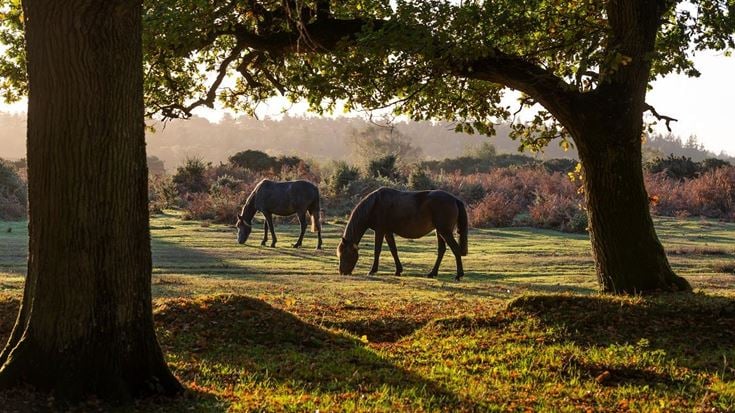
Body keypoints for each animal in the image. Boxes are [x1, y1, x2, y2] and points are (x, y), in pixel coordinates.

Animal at [337, 187, 468, 280]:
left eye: (345, 254)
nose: (342, 272)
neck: (374, 205)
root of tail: (455, 199)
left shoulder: (380, 231)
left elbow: (377, 250)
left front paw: (372, 270)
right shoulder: (388, 232)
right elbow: (393, 250)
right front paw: (398, 271)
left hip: (445, 232)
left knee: (455, 249)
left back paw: (458, 275)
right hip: (439, 232)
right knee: (441, 250)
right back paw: (432, 273)